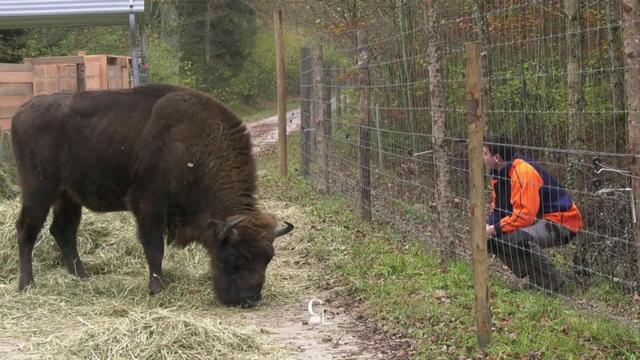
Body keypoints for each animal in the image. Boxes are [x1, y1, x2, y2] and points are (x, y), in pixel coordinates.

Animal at [10, 83, 296, 306]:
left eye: (268, 258)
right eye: (239, 254)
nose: (249, 299)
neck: (195, 147)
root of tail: (21, 112)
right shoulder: (149, 204)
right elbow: (154, 247)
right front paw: (158, 288)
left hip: (68, 196)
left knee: (63, 231)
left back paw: (82, 276)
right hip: (39, 191)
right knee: (27, 230)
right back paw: (27, 285)